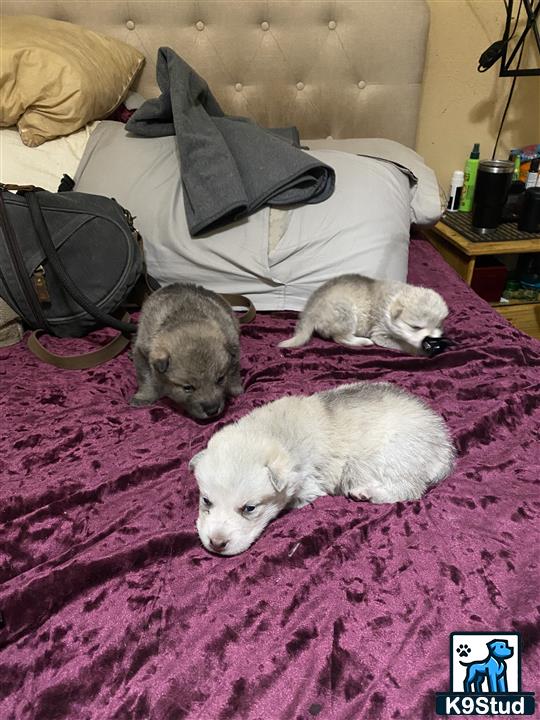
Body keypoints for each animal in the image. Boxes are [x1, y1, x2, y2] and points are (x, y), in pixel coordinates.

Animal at [130, 282, 242, 420]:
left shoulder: (233, 344)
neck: (187, 318)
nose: (212, 410)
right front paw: (144, 397)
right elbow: (146, 379)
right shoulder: (143, 352)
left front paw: (235, 389)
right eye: (188, 388)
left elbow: (234, 371)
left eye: (220, 379)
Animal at [190, 382, 456, 556]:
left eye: (250, 508)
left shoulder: (308, 485)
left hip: (394, 457)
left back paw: (366, 492)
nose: (216, 543)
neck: (270, 434)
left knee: (409, 490)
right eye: (206, 500)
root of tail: (444, 444)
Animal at [276, 272, 450, 354]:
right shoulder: (380, 333)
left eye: (439, 325)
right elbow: (404, 345)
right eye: (415, 327)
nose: (432, 340)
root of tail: (310, 310)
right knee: (341, 338)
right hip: (345, 314)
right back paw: (363, 342)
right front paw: (421, 351)